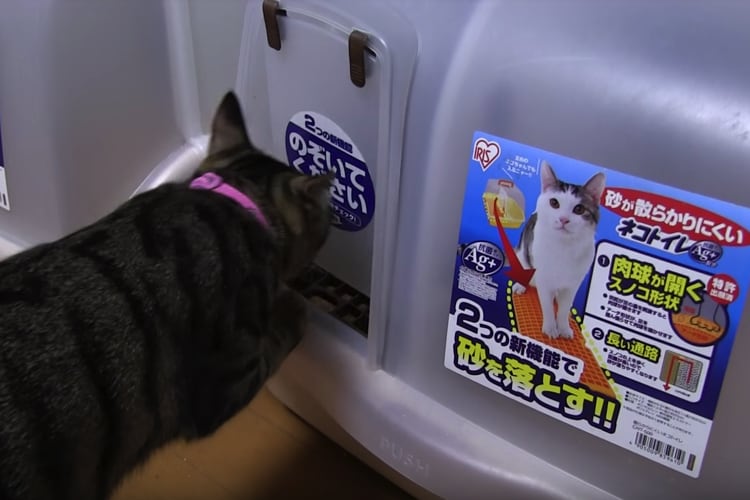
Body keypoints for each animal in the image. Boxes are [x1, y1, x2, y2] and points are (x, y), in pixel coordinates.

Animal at [512, 161, 606, 339]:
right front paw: (550, 328)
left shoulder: (573, 285)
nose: (563, 219)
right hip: (522, 252)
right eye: (554, 203)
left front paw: (563, 328)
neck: (564, 247)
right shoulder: (544, 279)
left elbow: (563, 309)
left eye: (579, 209)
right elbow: (547, 307)